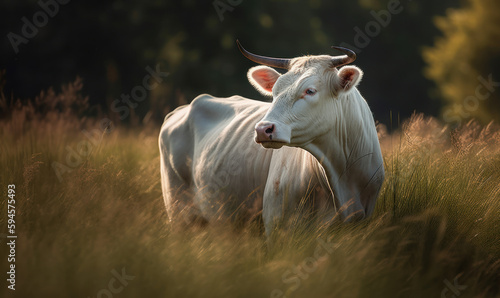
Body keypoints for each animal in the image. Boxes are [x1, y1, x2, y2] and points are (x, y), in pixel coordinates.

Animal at [158, 40, 384, 234]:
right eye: (274, 92)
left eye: (310, 91)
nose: (262, 129)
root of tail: (182, 108)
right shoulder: (276, 223)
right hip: (178, 212)